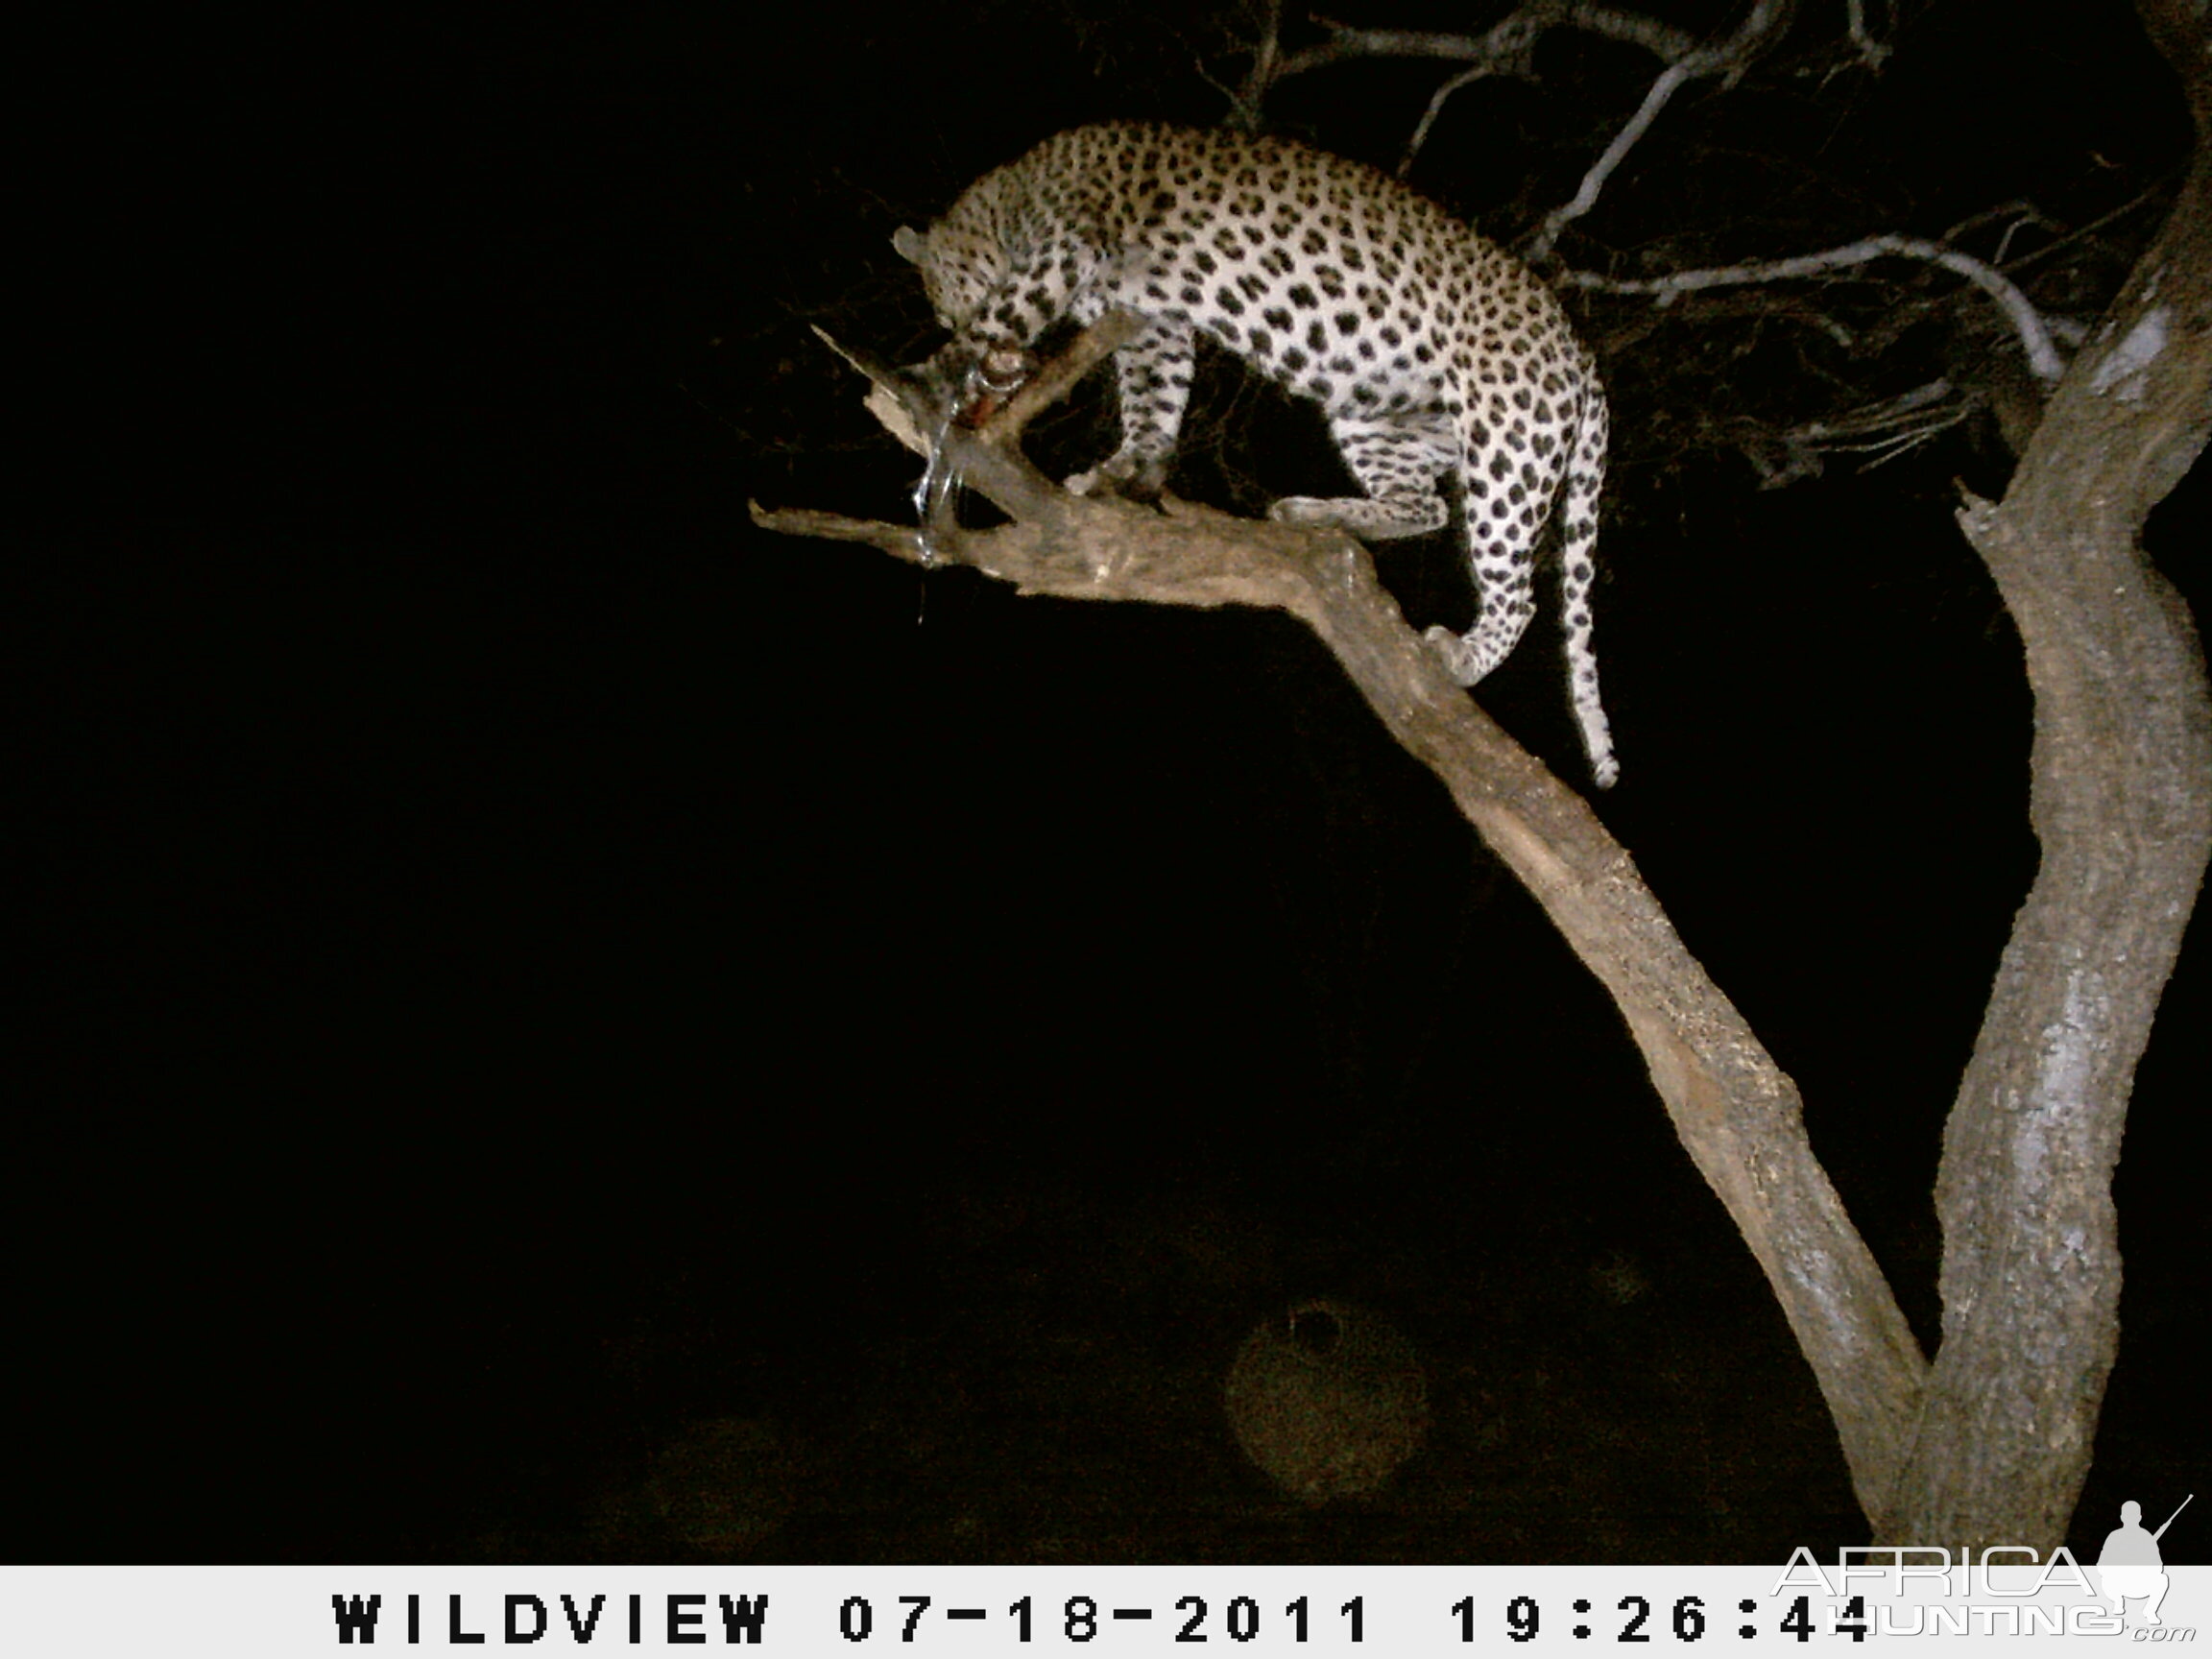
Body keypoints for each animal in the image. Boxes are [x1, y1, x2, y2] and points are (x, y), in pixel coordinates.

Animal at [889, 123, 1619, 787]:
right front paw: (1124, 469)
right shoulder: (1155, 325)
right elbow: (1154, 400)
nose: (995, 368)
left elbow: (1007, 312)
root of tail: (1580, 353)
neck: (1011, 195)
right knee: (1426, 505)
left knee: (1518, 593)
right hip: (1373, 414)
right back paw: (1316, 514)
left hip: (1508, 441)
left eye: (946, 307)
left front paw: (933, 368)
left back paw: (1460, 655)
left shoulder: (1062, 245)